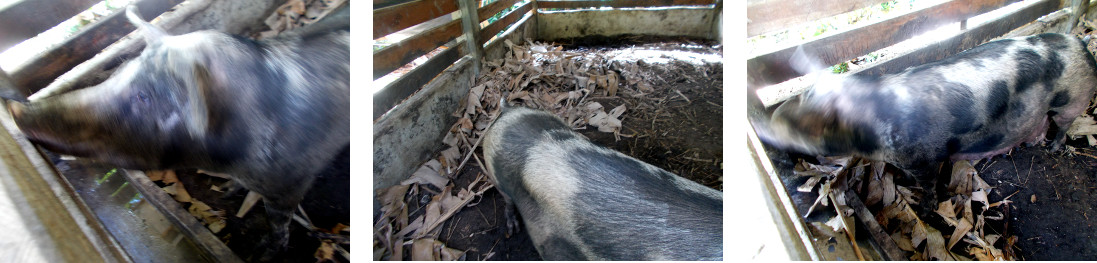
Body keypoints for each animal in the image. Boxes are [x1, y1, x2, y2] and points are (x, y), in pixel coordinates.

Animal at [4, 4, 346, 260]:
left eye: (145, 96)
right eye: (121, 70)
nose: (14, 109)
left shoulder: (290, 183)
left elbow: (278, 223)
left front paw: (263, 253)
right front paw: (228, 191)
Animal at [750, 32, 1097, 209]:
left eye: (798, 129)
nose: (759, 128)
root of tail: (1080, 43)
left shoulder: (923, 158)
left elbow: (929, 184)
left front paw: (923, 203)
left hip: (1073, 99)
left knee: (1063, 125)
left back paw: (1052, 148)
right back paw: (1034, 143)